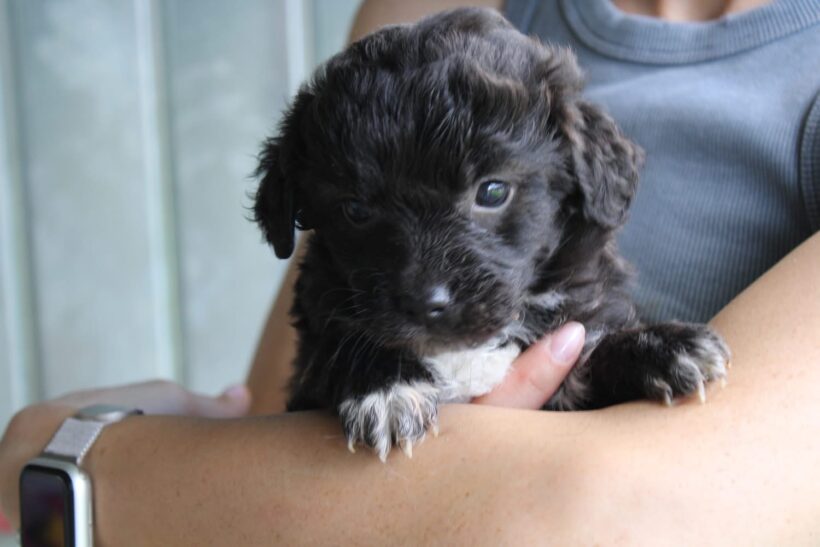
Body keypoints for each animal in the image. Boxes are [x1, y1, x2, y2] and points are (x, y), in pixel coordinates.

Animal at [253, 8, 729, 461]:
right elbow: (341, 343)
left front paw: (662, 347)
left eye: (493, 191)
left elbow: (593, 353)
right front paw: (385, 388)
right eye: (354, 210)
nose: (423, 302)